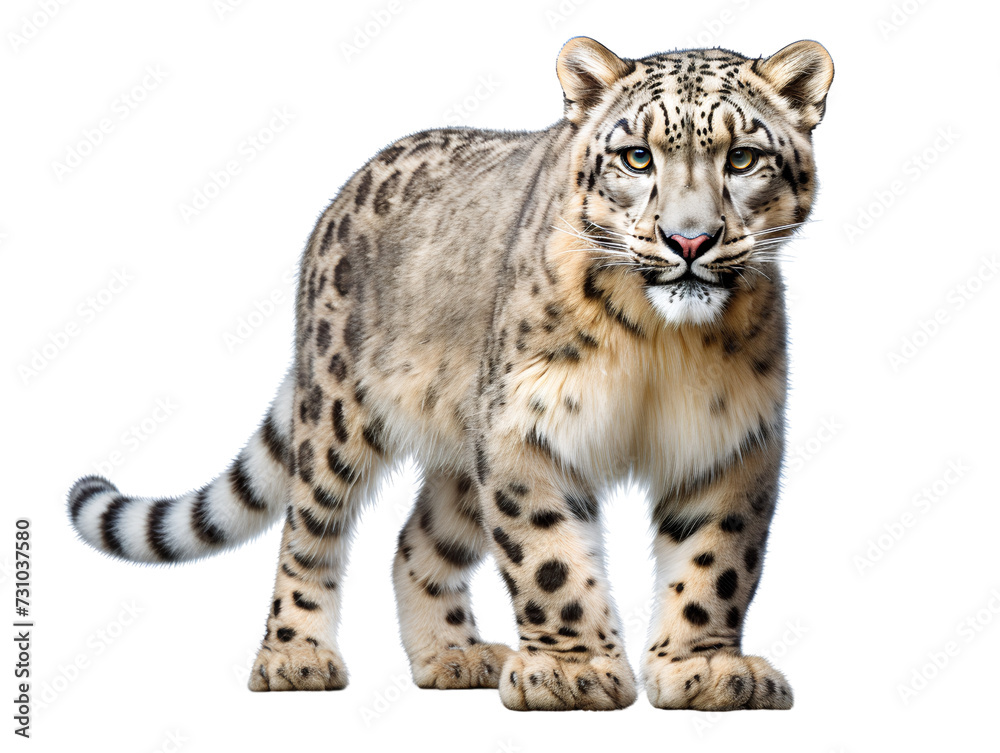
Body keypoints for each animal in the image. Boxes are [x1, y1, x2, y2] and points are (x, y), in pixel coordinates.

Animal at [67, 36, 833, 711]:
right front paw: (572, 672)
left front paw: (707, 670)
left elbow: (715, 560)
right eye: (637, 156)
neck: (658, 345)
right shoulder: (527, 427)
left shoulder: (731, 436)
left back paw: (454, 656)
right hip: (340, 411)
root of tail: (336, 204)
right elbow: (549, 558)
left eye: (743, 157)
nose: (689, 240)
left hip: (463, 452)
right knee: (308, 531)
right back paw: (294, 656)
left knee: (416, 539)